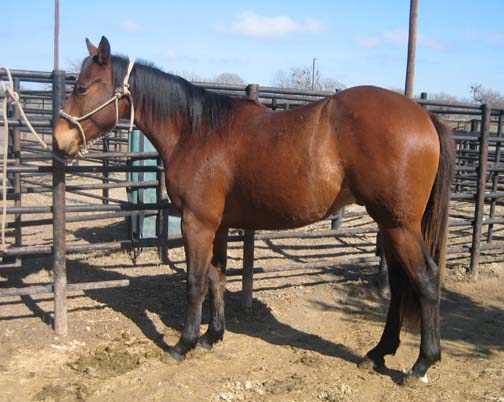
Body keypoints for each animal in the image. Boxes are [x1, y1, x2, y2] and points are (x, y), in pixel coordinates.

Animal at [55, 37, 456, 384]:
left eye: (82, 88)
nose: (59, 139)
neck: (195, 132)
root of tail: (424, 116)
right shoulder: (216, 226)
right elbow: (217, 276)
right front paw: (212, 336)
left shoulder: (196, 224)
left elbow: (195, 282)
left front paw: (184, 344)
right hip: (391, 226)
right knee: (402, 284)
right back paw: (378, 353)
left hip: (399, 225)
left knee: (425, 279)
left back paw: (421, 364)